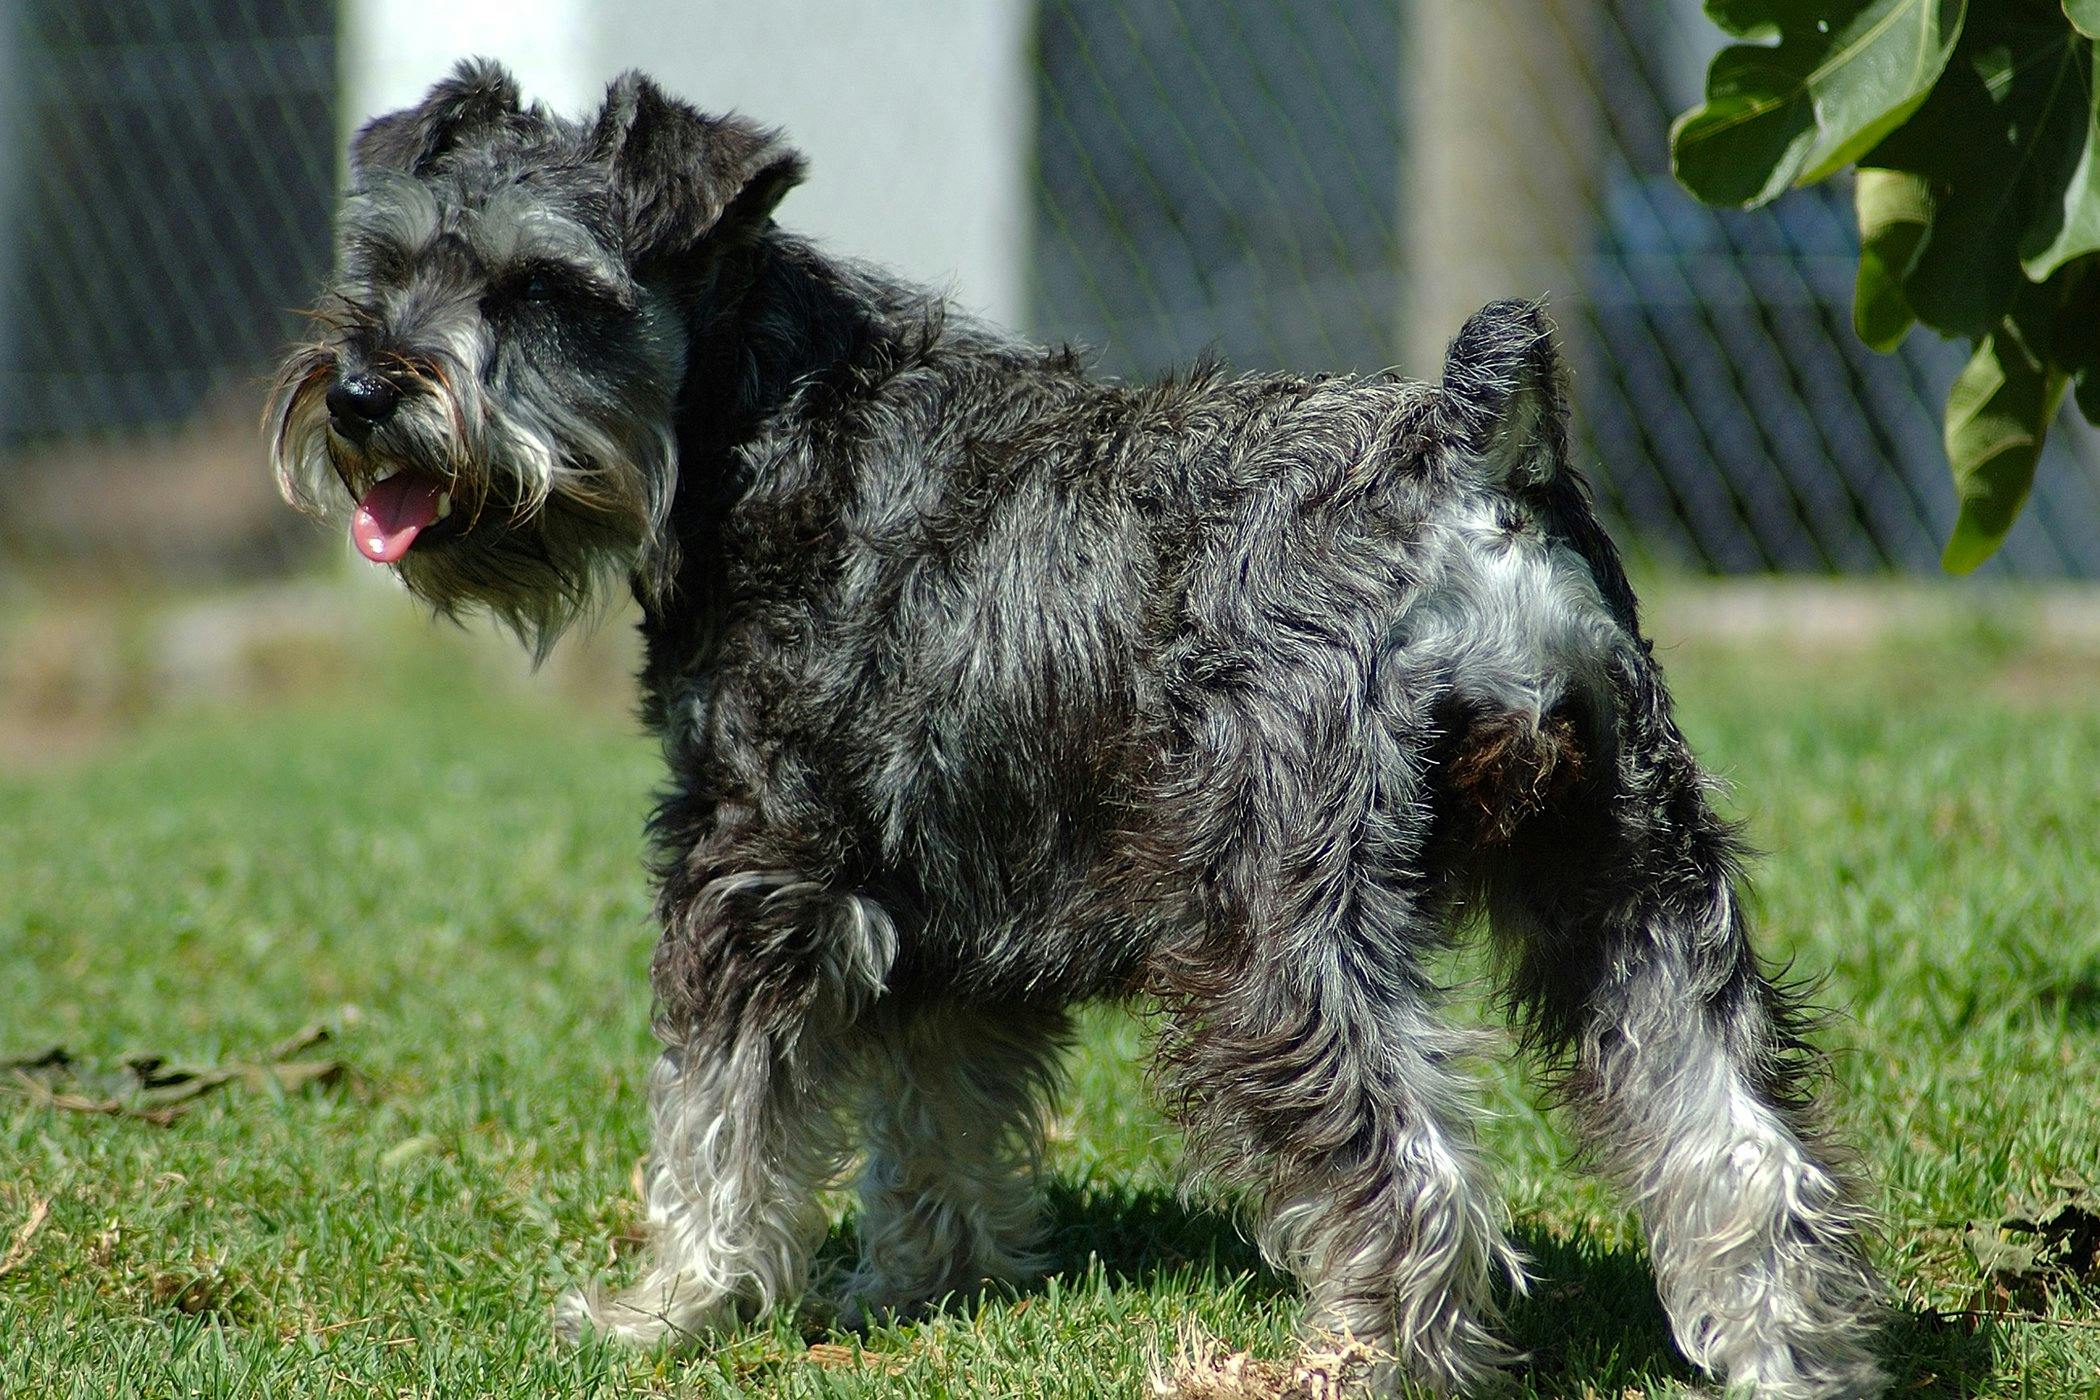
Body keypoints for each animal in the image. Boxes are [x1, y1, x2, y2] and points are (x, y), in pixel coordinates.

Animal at [270, 60, 1898, 1393]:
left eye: (546, 288)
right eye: (385, 263)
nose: (360, 392)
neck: (764, 424)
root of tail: (1468, 467)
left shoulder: (755, 869)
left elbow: (715, 1115)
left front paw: (670, 1309)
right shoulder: (943, 909)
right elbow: (935, 1113)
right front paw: (924, 1281)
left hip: (1272, 933)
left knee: (1410, 1171)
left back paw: (1342, 1360)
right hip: (1637, 880)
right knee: (1739, 1145)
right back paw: (1787, 1362)